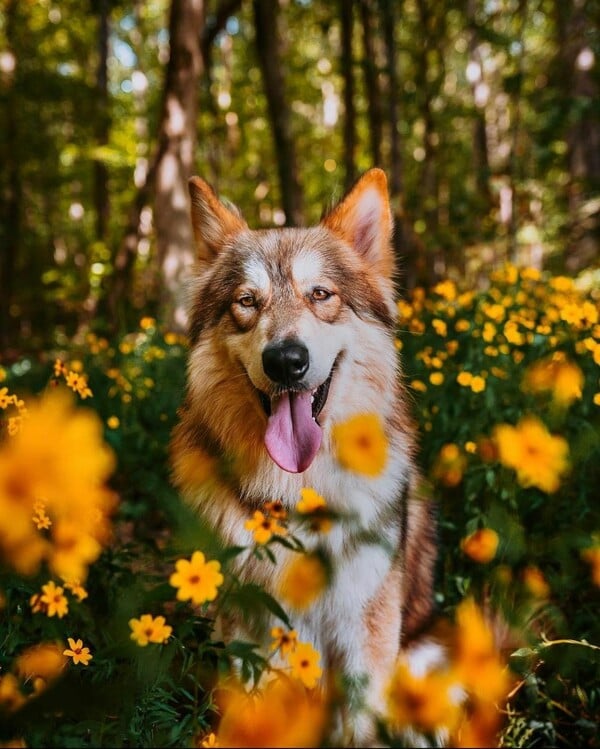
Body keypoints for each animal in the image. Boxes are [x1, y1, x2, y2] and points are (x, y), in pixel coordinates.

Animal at [171, 168, 438, 744]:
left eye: (320, 294)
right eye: (247, 302)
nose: (286, 361)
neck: (297, 498)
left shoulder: (365, 629)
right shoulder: (252, 633)